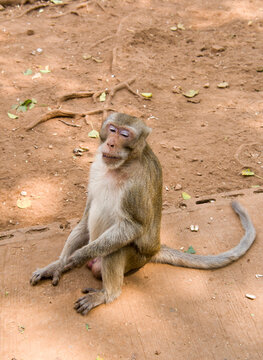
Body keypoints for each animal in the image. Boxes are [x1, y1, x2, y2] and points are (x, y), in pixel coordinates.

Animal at [29, 112, 256, 316]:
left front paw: (79, 256)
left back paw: (107, 294)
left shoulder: (136, 186)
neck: (121, 166)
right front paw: (58, 265)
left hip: (136, 259)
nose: (111, 143)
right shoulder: (95, 167)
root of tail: (154, 250)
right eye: (112, 129)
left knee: (116, 248)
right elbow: (84, 220)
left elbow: (134, 226)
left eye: (124, 134)